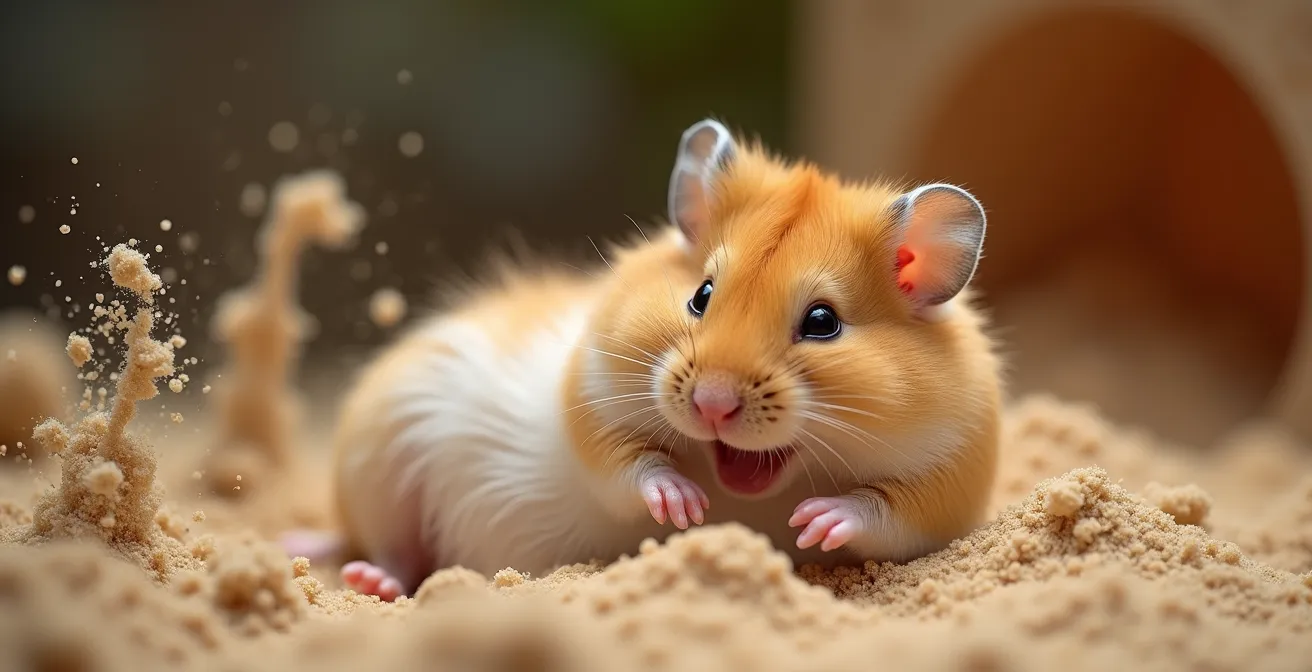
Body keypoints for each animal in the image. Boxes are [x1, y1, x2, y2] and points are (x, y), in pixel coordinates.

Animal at [290, 118, 1002, 601]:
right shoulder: (591, 399)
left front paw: (814, 522)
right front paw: (683, 508)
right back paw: (364, 577)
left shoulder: (951, 487)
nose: (712, 404)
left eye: (823, 323)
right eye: (701, 295)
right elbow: (629, 465)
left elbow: (887, 514)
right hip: (380, 468)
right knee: (392, 550)